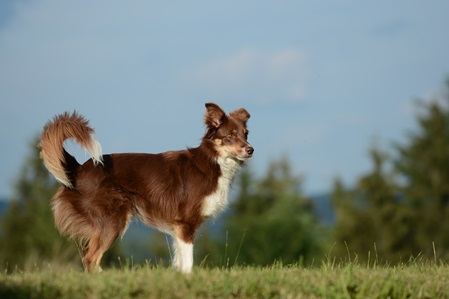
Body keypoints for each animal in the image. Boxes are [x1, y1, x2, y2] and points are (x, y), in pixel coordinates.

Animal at [38, 103, 252, 274]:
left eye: (246, 134)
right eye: (230, 136)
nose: (251, 149)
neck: (213, 161)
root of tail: (79, 168)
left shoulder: (178, 228)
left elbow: (179, 260)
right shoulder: (186, 223)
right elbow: (188, 261)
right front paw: (189, 279)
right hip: (112, 220)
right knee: (91, 258)